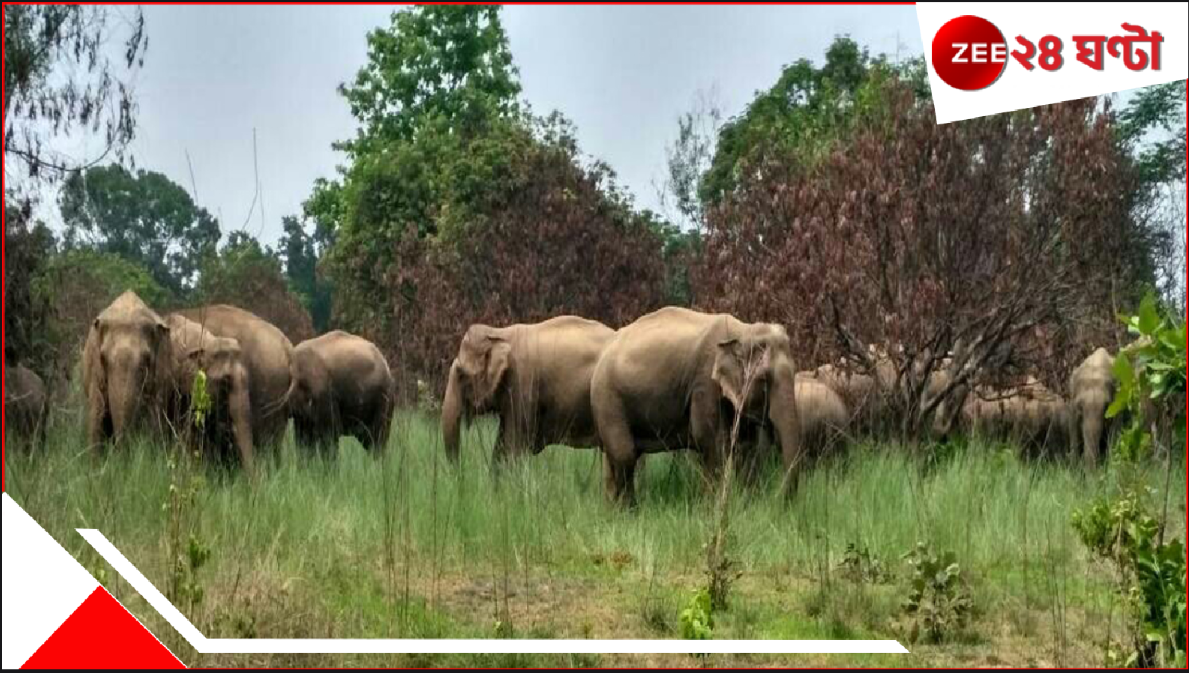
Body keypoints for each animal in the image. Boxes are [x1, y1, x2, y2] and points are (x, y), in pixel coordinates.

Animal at [82, 291, 173, 453]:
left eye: (146, 359)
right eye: (103, 357)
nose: (118, 454)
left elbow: (154, 416)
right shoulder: (94, 368)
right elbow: (97, 412)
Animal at [442, 316, 615, 465]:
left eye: (461, 374)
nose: (459, 474)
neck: (500, 333)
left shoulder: (523, 383)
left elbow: (513, 445)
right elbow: (501, 445)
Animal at [589, 307, 800, 507]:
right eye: (764, 380)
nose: (778, 501)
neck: (743, 330)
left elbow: (747, 446)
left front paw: (746, 505)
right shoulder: (704, 382)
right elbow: (711, 440)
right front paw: (709, 509)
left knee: (618, 456)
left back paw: (612, 510)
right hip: (607, 397)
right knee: (625, 454)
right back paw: (629, 511)